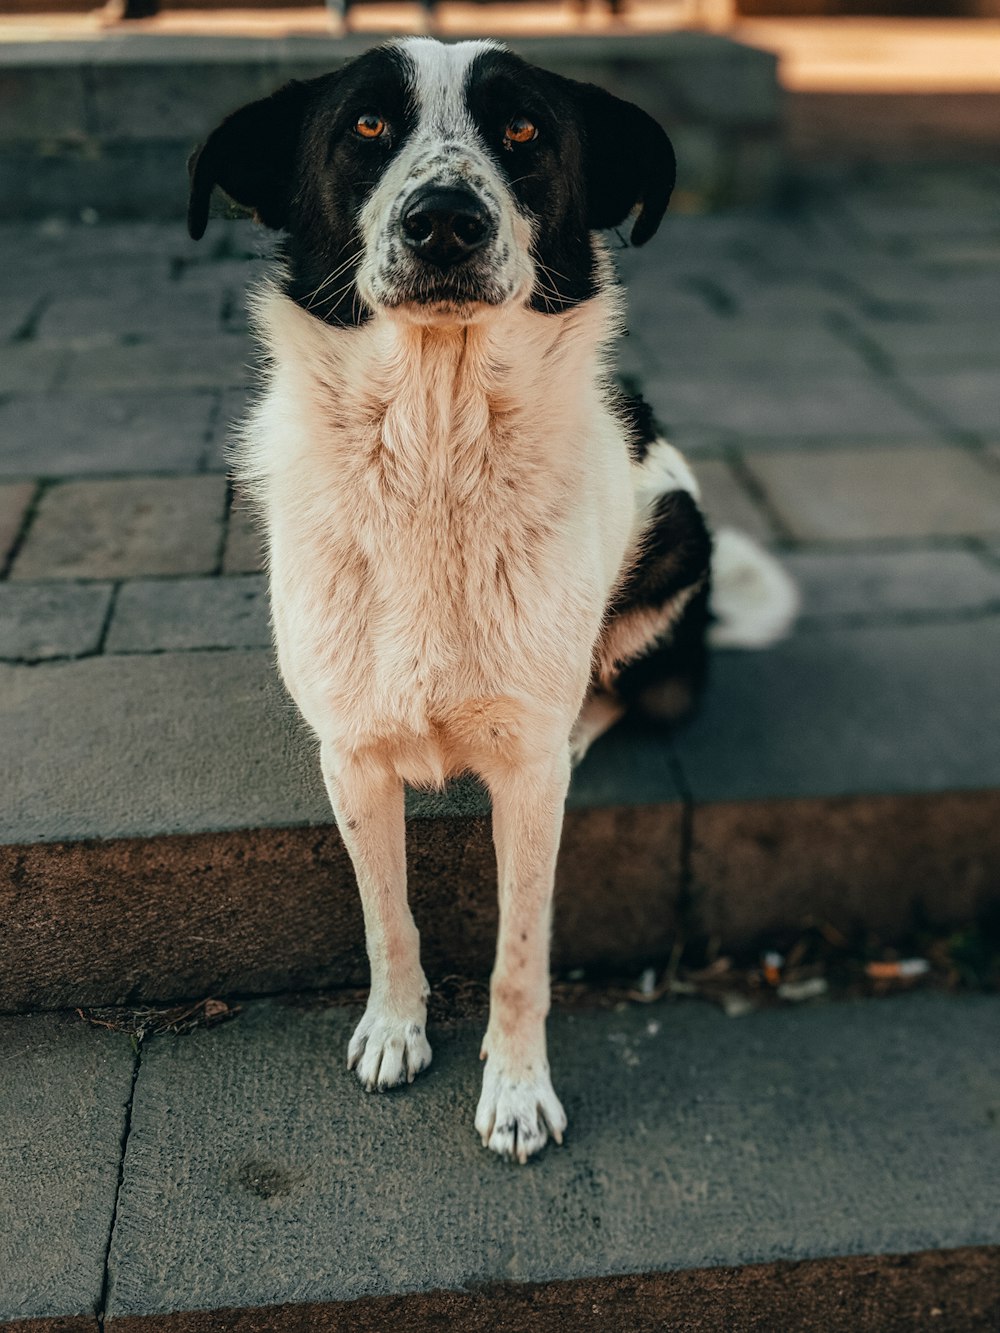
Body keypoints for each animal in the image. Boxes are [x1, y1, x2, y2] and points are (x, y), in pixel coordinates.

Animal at [189, 38, 800, 1167]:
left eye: (522, 132)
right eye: (366, 127)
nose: (444, 220)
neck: (436, 446)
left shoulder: (521, 779)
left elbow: (522, 953)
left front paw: (517, 1093)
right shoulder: (351, 755)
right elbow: (387, 915)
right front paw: (395, 1030)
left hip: (675, 533)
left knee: (621, 689)